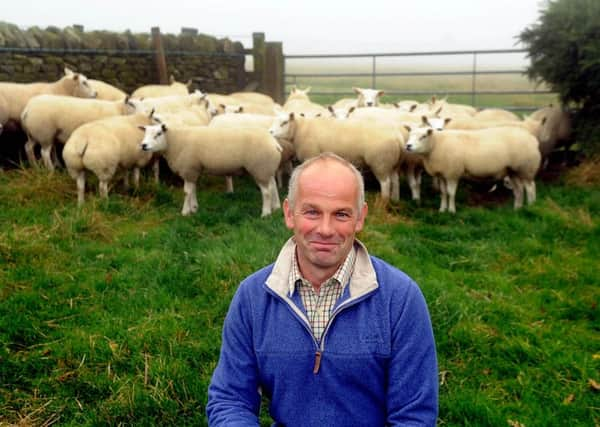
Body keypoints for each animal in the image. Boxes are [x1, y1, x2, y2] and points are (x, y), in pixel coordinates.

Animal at [139, 123, 282, 217]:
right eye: (145, 133)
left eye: (158, 134)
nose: (143, 145)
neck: (174, 141)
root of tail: (274, 143)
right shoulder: (194, 170)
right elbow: (193, 190)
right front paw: (194, 208)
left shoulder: (189, 168)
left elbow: (187, 192)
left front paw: (185, 212)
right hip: (268, 169)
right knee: (273, 186)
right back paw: (276, 207)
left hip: (260, 168)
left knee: (266, 192)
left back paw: (265, 213)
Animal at [268, 113, 400, 201]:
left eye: (284, 122)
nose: (270, 132)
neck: (301, 129)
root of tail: (397, 136)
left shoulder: (311, 154)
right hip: (392, 163)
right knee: (395, 180)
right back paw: (395, 199)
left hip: (380, 161)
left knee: (386, 183)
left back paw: (384, 201)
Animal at [404, 127, 540, 214]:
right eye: (409, 135)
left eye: (423, 136)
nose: (408, 146)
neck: (437, 144)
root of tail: (532, 139)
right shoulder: (442, 174)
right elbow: (443, 193)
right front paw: (442, 210)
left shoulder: (453, 173)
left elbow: (451, 193)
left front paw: (451, 211)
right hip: (513, 171)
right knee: (519, 190)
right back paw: (517, 208)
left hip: (526, 168)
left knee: (530, 188)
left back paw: (531, 207)